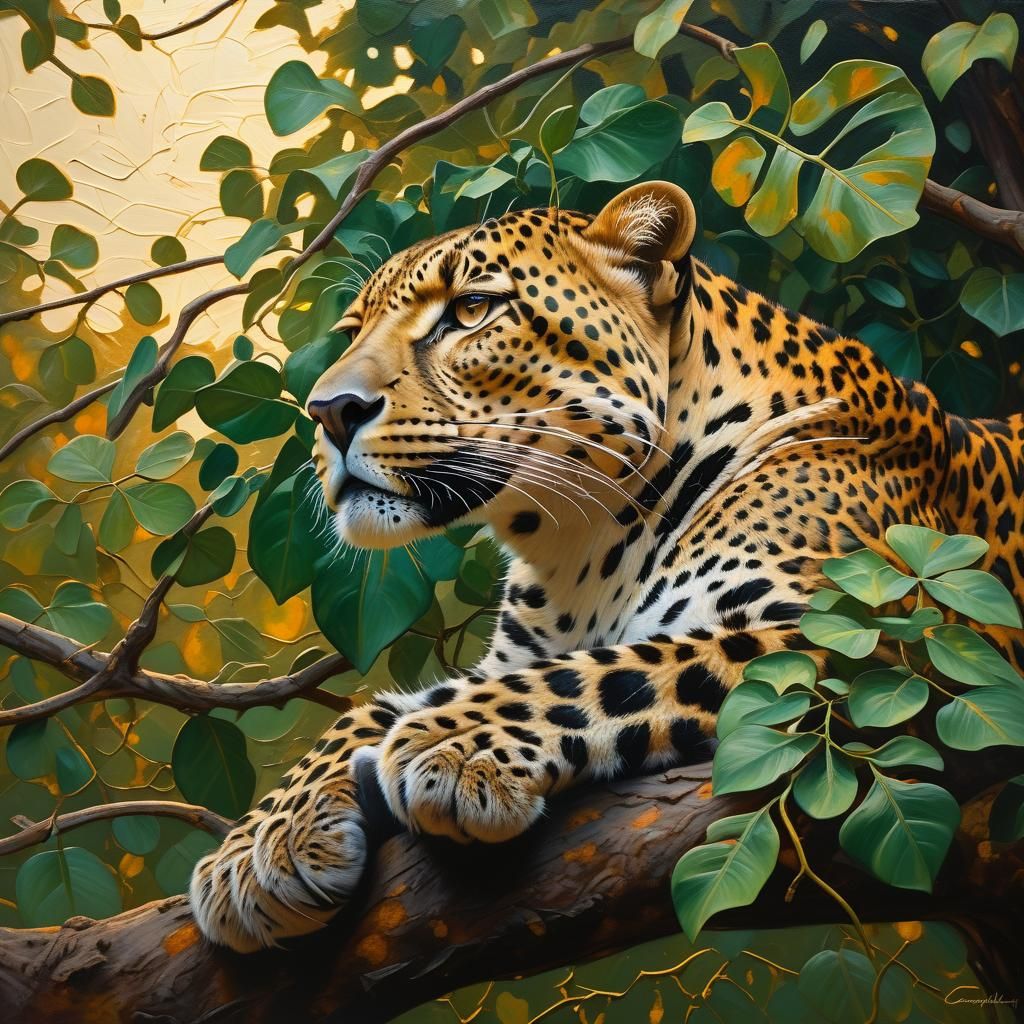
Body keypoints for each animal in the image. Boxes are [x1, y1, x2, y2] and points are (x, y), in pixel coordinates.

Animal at [190, 181, 1024, 952]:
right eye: (354, 330)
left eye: (471, 310)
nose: (329, 412)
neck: (578, 551)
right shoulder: (510, 651)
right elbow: (384, 704)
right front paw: (260, 845)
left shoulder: (879, 640)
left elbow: (604, 672)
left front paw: (452, 746)